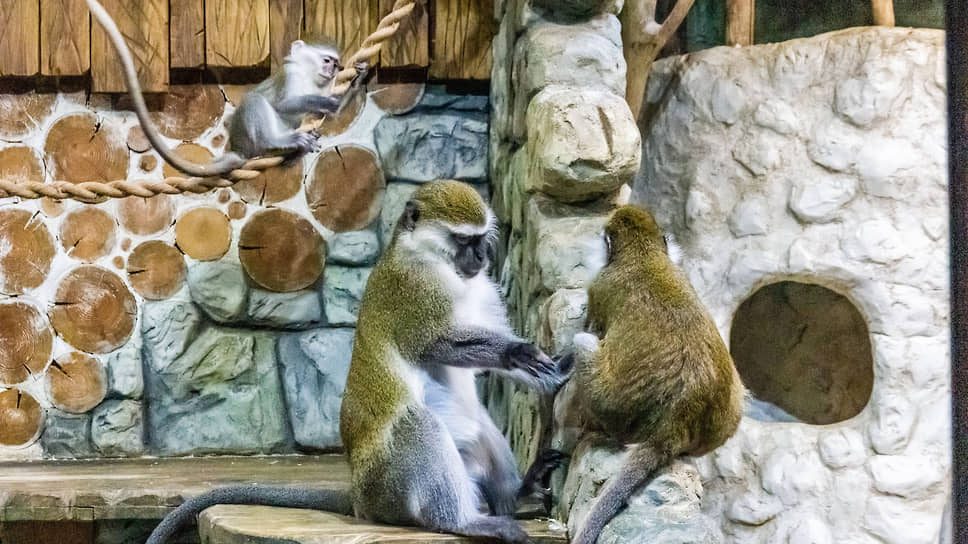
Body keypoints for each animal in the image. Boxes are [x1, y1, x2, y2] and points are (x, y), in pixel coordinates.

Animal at [564, 204, 744, 544]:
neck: (643, 253)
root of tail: (672, 425)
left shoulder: (599, 285)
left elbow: (590, 326)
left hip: (615, 412)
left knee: (583, 343)